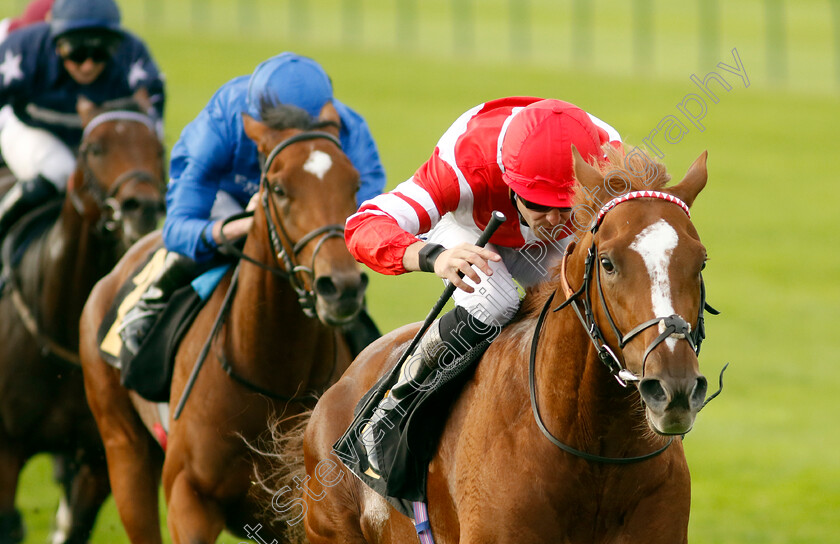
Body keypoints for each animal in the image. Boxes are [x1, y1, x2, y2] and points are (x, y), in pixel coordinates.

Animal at [0, 93, 166, 544]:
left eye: (158, 148)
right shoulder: (7, 448)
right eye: (94, 148)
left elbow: (71, 527)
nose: (141, 207)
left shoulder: (98, 456)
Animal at [79, 103, 368, 544]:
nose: (342, 287)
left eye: (354, 184)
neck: (270, 370)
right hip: (123, 446)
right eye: (279, 189)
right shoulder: (190, 499)